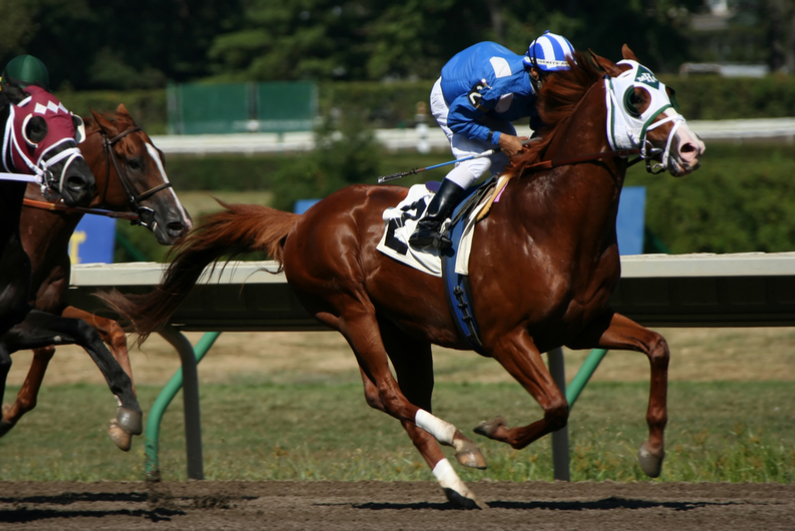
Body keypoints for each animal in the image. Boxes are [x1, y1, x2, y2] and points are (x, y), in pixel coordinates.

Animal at [0, 106, 191, 450]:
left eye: (161, 156)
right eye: (134, 161)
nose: (179, 223)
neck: (31, 232)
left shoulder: (48, 307)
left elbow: (105, 329)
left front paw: (125, 418)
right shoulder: (13, 322)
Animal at [102, 47, 704, 510]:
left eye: (668, 89)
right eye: (636, 97)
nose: (692, 148)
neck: (547, 221)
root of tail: (302, 221)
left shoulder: (583, 325)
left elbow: (658, 347)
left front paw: (652, 453)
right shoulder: (506, 337)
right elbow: (556, 405)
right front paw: (493, 432)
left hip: (405, 330)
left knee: (404, 397)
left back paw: (456, 483)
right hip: (348, 310)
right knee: (384, 392)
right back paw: (461, 447)